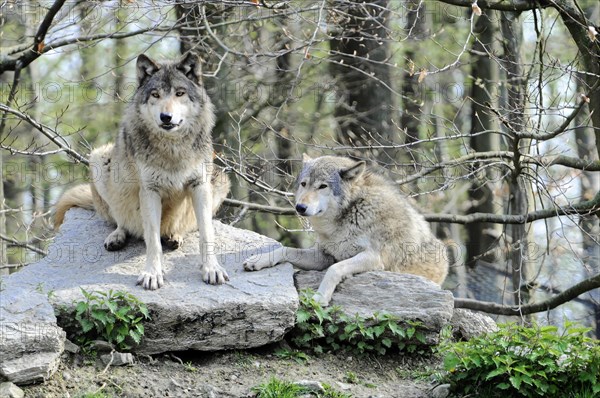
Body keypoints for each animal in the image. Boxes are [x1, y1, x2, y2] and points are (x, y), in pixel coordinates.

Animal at [55, 52, 230, 290]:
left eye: (180, 93)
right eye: (155, 94)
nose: (166, 117)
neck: (172, 149)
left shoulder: (200, 185)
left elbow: (206, 233)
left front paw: (212, 269)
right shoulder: (149, 190)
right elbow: (153, 240)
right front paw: (152, 274)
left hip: (220, 179)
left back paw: (174, 235)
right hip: (100, 160)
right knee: (119, 219)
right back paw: (117, 237)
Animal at [243, 155, 446, 304]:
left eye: (322, 186)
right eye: (304, 184)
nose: (300, 207)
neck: (351, 210)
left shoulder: (373, 257)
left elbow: (335, 269)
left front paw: (320, 297)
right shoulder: (322, 256)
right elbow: (284, 249)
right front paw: (258, 259)